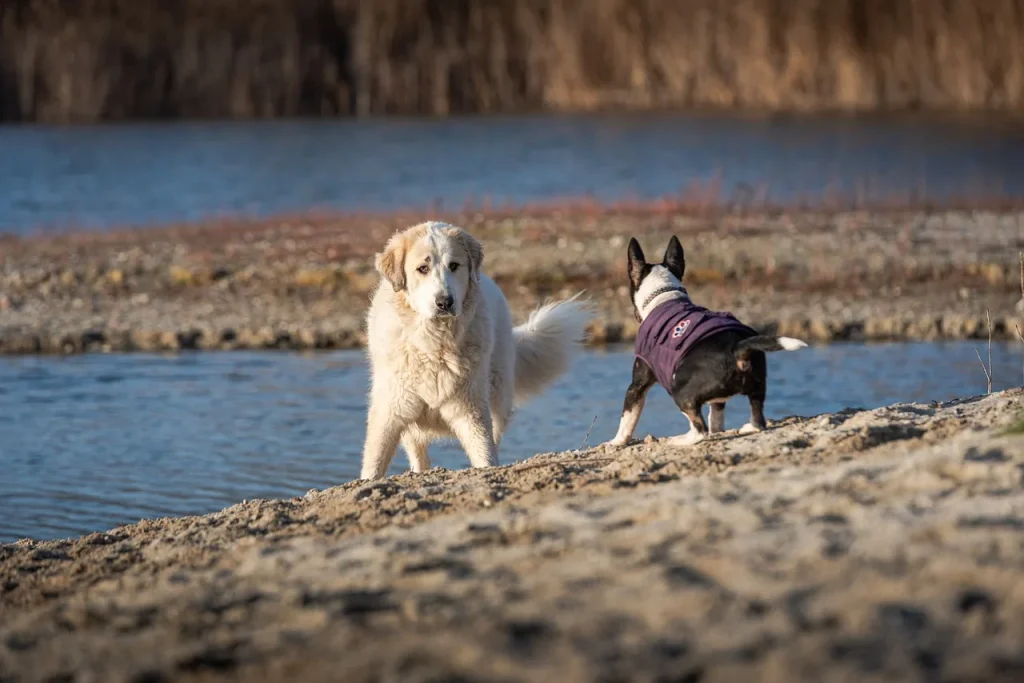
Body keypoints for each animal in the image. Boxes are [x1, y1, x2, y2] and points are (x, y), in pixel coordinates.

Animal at [360, 222, 593, 479]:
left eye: (454, 266)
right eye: (422, 268)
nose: (445, 302)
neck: (435, 345)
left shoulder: (471, 411)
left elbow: (485, 455)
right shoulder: (390, 412)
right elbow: (374, 464)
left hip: (497, 397)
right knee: (418, 452)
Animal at [598, 235, 806, 448]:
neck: (664, 295)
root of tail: (737, 350)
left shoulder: (637, 384)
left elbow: (628, 417)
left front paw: (615, 442)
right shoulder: (718, 402)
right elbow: (716, 416)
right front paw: (719, 431)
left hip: (678, 391)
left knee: (700, 430)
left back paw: (679, 440)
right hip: (757, 388)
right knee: (756, 418)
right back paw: (749, 427)